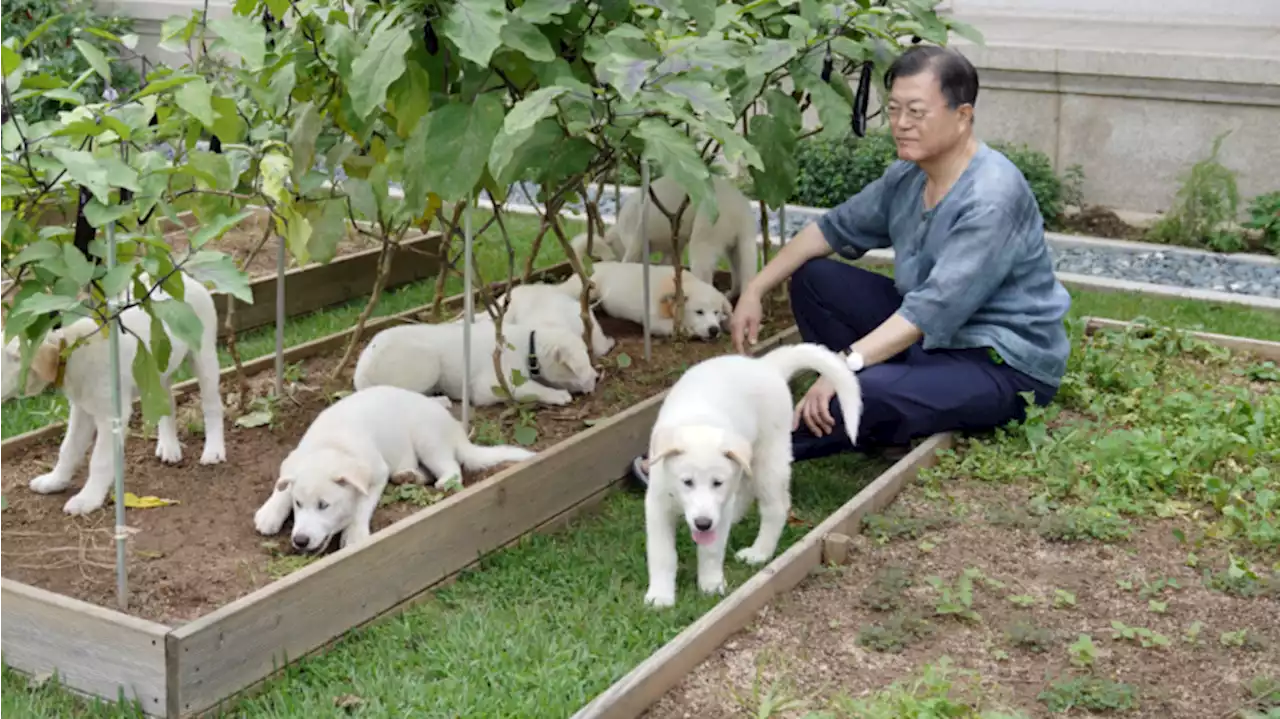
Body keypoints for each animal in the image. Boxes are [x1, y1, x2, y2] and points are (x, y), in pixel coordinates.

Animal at [0, 272, 225, 514]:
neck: (70, 349)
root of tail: (183, 277)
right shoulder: (81, 410)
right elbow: (68, 449)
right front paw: (54, 481)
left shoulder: (111, 417)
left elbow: (99, 461)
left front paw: (87, 499)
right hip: (156, 370)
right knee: (168, 403)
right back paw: (169, 446)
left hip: (204, 356)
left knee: (212, 405)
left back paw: (213, 450)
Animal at [252, 383, 532, 550]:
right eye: (298, 504)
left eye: (324, 506)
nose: (299, 540)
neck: (332, 445)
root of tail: (455, 429)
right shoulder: (296, 460)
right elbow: (284, 486)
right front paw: (270, 512)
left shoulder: (376, 473)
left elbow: (362, 505)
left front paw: (354, 534)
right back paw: (409, 476)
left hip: (427, 438)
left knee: (451, 467)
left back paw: (441, 480)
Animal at [560, 262, 732, 340]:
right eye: (699, 312)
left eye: (716, 312)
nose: (714, 330)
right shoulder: (653, 321)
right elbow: (676, 327)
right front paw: (689, 330)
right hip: (588, 287)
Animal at [645, 340, 865, 603]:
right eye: (686, 482)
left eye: (717, 483)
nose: (703, 524)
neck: (698, 422)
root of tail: (766, 365)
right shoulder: (657, 504)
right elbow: (662, 554)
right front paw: (660, 596)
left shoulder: (719, 505)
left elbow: (711, 551)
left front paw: (711, 586)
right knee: (746, 490)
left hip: (769, 458)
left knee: (775, 508)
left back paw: (759, 553)